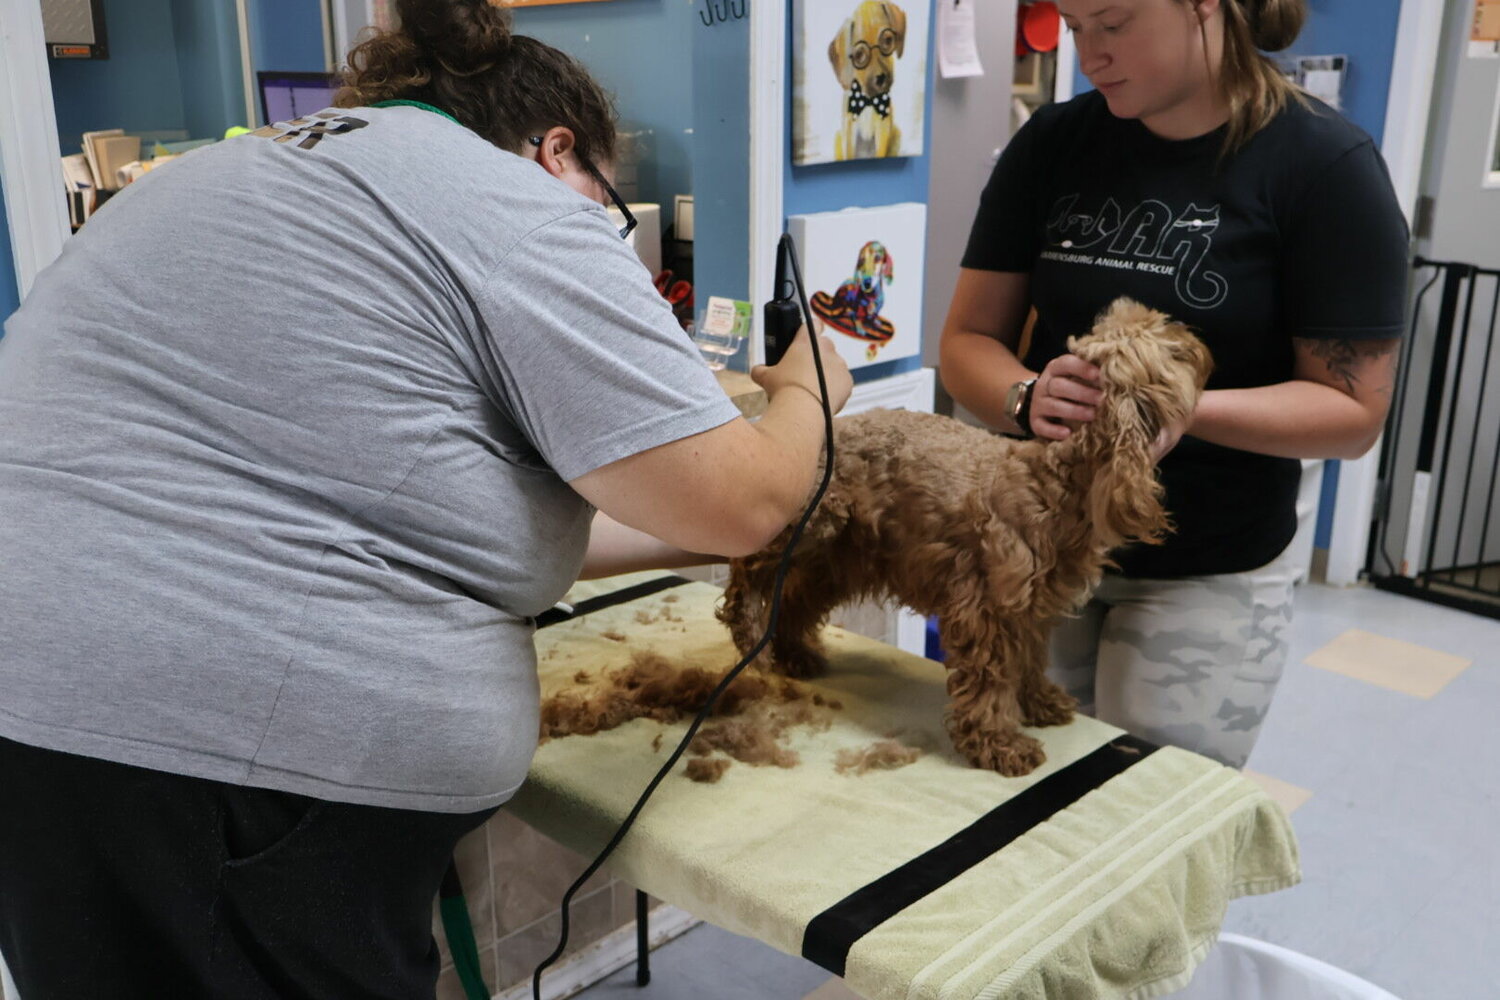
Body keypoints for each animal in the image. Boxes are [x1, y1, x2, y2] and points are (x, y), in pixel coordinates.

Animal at [711, 301, 1206, 779]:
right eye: (1170, 347)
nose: (1198, 343)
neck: (1053, 479)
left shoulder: (1031, 608)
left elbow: (1028, 661)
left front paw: (1039, 702)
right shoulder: (985, 609)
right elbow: (991, 682)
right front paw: (998, 743)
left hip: (841, 555)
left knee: (794, 597)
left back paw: (795, 655)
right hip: (811, 522)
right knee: (746, 573)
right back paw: (749, 632)